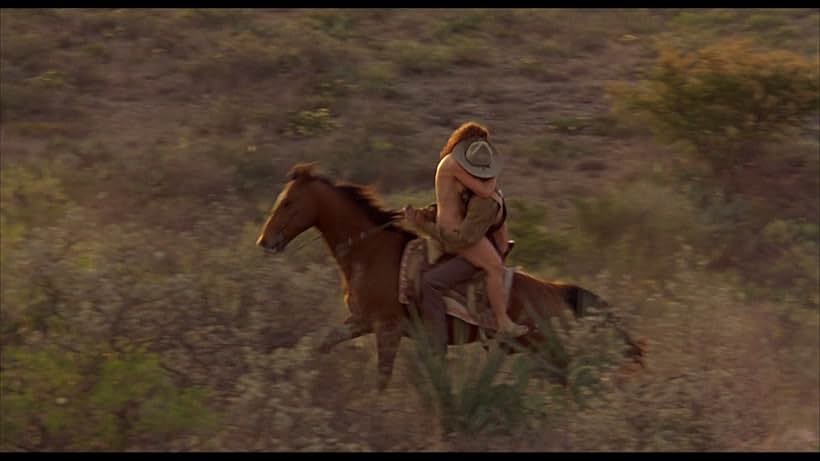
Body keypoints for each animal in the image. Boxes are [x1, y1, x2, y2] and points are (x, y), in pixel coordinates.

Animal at [255, 164, 640, 390]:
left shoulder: (387, 329)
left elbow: (382, 379)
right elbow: (324, 343)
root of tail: (558, 292)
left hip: (548, 351)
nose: (265, 241)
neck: (372, 251)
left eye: (288, 202)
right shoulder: (361, 321)